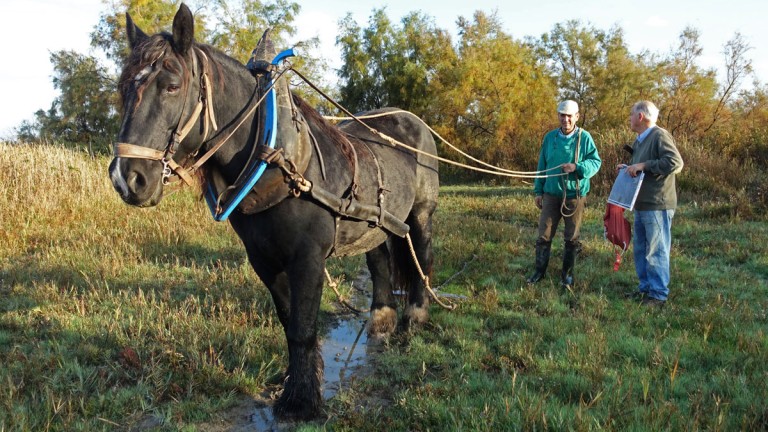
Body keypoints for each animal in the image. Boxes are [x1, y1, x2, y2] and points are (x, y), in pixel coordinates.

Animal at [111, 3, 440, 420]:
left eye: (172, 86)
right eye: (123, 88)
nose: (127, 178)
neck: (275, 155)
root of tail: (412, 120)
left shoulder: (308, 258)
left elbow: (303, 326)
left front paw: (302, 401)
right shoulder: (263, 259)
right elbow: (288, 322)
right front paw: (294, 385)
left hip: (421, 216)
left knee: (421, 261)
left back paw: (414, 318)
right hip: (375, 222)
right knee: (380, 260)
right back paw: (382, 317)